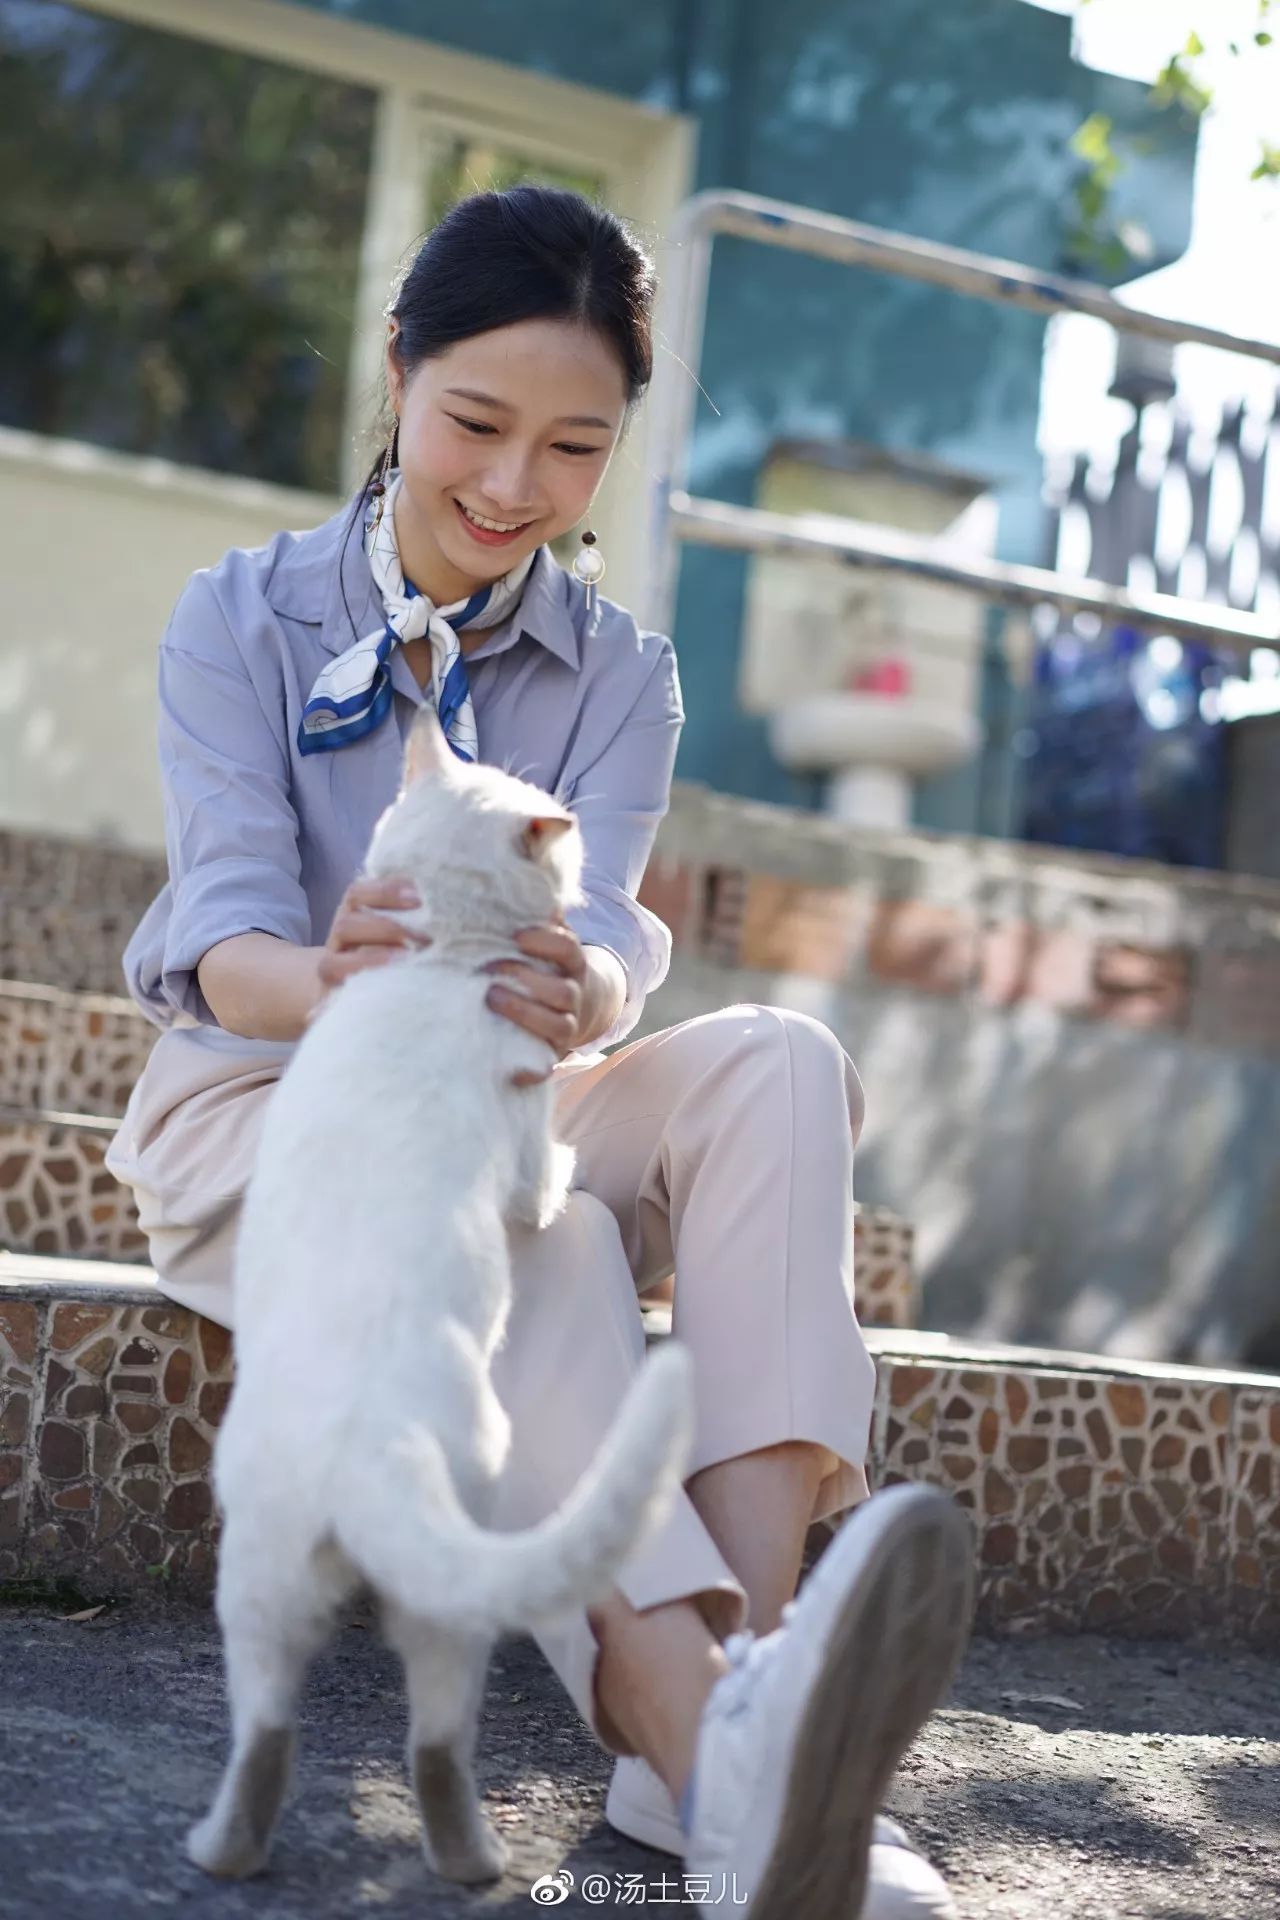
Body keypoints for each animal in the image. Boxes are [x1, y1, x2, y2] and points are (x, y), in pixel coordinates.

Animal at [185, 702, 694, 1873]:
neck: (431, 959)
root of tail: (362, 1449)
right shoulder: (527, 1130)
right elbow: (545, 1183)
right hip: (454, 1590)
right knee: (434, 1740)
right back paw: (473, 1863)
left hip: (257, 1582)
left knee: (266, 1730)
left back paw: (221, 1850)